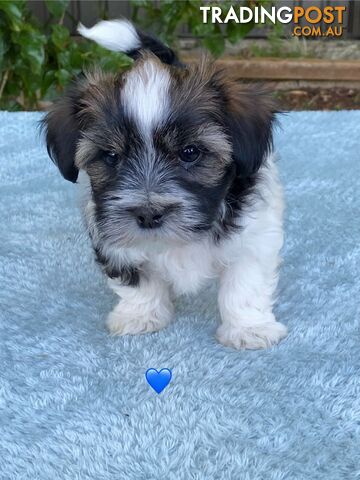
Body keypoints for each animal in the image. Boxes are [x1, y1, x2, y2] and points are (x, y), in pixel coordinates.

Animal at [43, 19, 288, 348]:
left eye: (190, 152)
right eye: (111, 156)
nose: (148, 214)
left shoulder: (254, 233)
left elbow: (245, 281)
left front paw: (248, 328)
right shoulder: (111, 240)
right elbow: (137, 280)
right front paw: (141, 315)